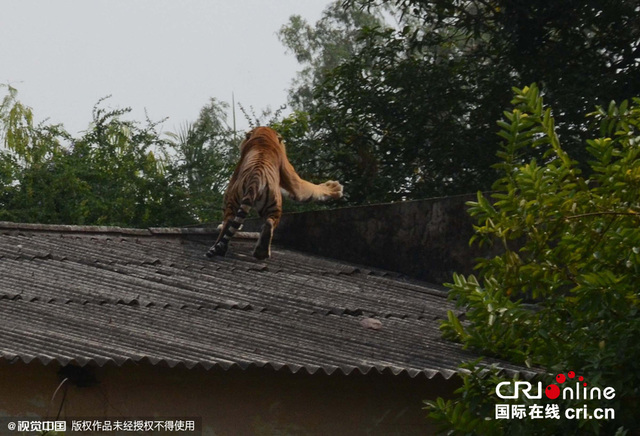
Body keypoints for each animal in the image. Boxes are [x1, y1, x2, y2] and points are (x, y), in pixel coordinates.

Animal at [208, 127, 342, 260]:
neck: (264, 136)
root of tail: (254, 181)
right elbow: (304, 188)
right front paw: (335, 188)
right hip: (274, 204)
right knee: (268, 222)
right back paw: (260, 252)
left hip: (242, 201)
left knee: (231, 221)